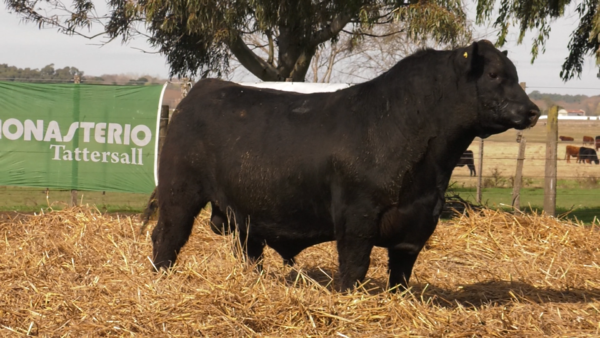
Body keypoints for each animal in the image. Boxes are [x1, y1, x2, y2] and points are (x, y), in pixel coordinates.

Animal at [149, 41, 540, 292]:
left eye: (513, 73)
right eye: (494, 74)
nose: (533, 110)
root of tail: (202, 88)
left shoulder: (418, 223)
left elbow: (401, 274)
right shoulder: (357, 215)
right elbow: (354, 265)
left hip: (245, 210)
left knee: (249, 249)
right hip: (179, 192)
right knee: (167, 237)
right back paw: (161, 278)